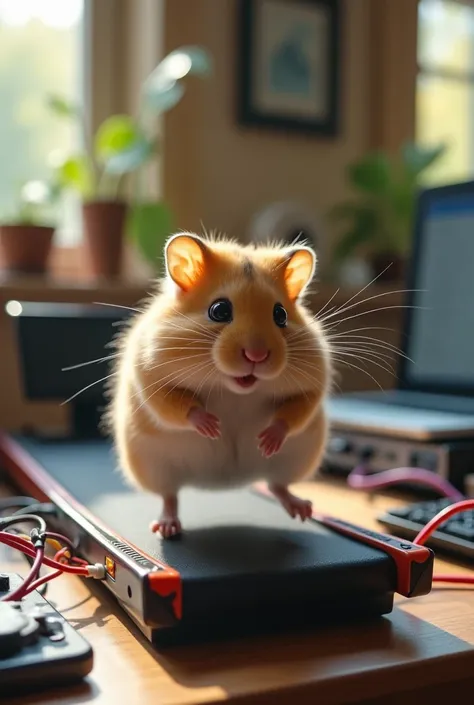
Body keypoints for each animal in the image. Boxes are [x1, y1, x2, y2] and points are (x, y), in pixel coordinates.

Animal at [105, 234, 332, 536]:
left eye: (281, 314)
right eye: (219, 310)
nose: (257, 356)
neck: (233, 388)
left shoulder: (313, 383)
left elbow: (296, 411)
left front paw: (266, 439)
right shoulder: (149, 375)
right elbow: (175, 405)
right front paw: (212, 427)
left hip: (295, 459)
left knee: (276, 485)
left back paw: (302, 510)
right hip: (154, 467)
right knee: (169, 495)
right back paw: (167, 527)